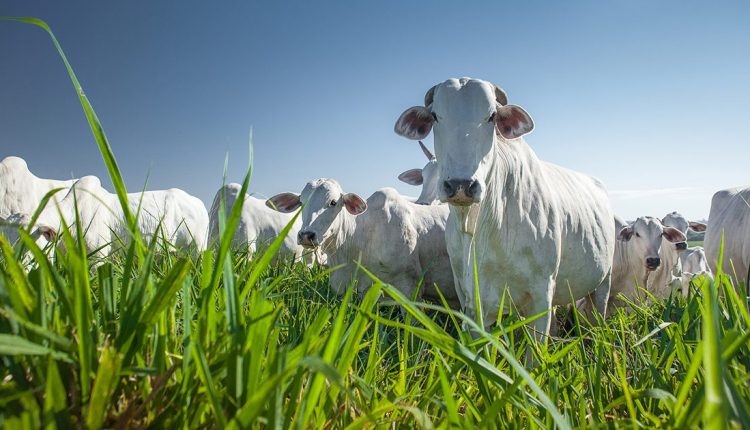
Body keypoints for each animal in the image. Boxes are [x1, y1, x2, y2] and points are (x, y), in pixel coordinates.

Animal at [394, 78, 616, 340]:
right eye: (436, 115)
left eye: (492, 116)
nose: (461, 185)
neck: (477, 224)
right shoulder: (470, 301)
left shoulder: (541, 294)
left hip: (604, 281)